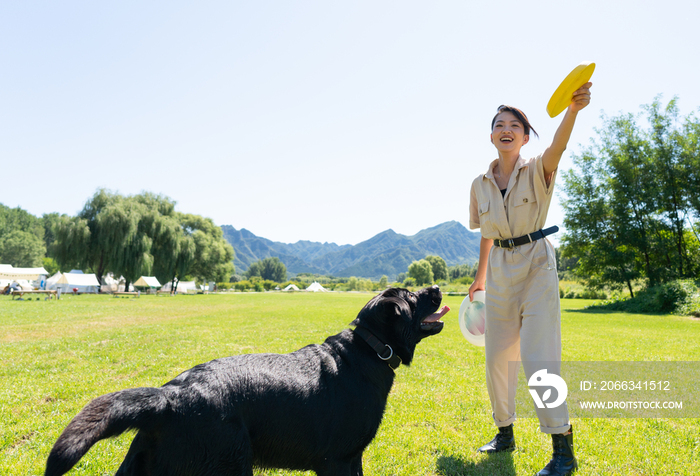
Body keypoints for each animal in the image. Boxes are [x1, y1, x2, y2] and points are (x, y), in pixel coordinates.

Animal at [45, 286, 448, 476]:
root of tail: (168, 396)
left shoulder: (353, 458)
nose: (437, 287)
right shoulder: (335, 460)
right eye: (412, 295)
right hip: (231, 464)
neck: (368, 350)